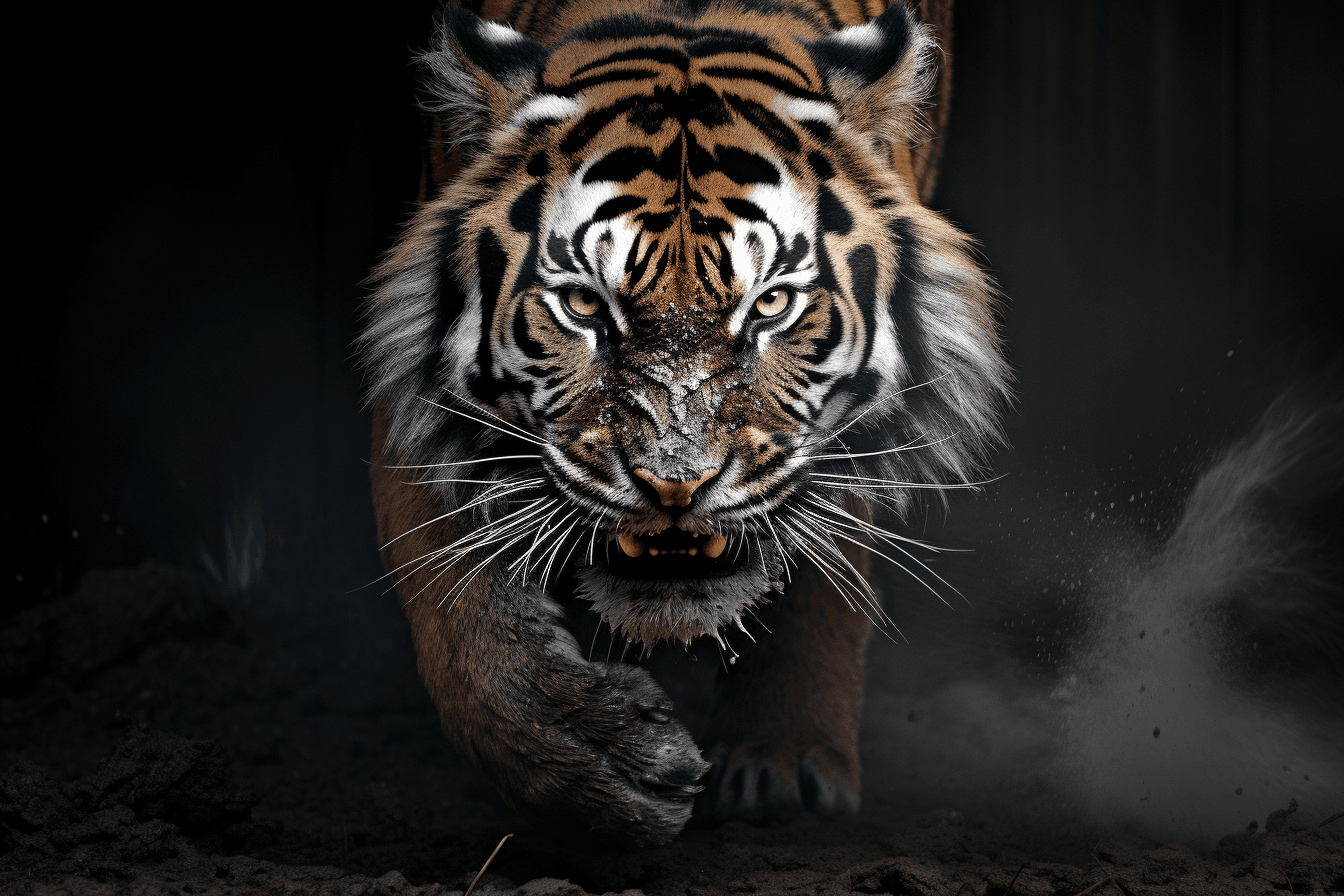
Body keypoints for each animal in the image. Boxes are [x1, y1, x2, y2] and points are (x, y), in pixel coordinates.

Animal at [359, 0, 1009, 848]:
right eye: (584, 304)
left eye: (771, 303)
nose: (676, 487)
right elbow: (456, 609)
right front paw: (591, 758)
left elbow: (826, 571)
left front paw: (783, 762)